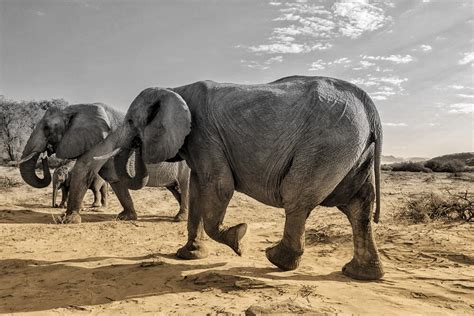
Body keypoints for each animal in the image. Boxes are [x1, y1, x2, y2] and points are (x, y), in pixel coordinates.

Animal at [18, 103, 190, 222]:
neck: (76, 108)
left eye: (47, 128)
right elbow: (114, 179)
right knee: (176, 189)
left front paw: (67, 220)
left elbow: (83, 169)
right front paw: (126, 217)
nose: (45, 154)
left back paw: (180, 219)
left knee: (184, 185)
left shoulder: (106, 139)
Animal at [96, 75, 386, 280]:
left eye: (131, 121)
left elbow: (219, 187)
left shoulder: (205, 135)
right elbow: (198, 190)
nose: (137, 146)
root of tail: (369, 107)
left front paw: (238, 239)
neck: (175, 88)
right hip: (352, 149)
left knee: (298, 197)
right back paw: (361, 274)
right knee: (357, 206)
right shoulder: (198, 143)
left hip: (327, 144)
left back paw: (276, 259)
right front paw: (188, 256)